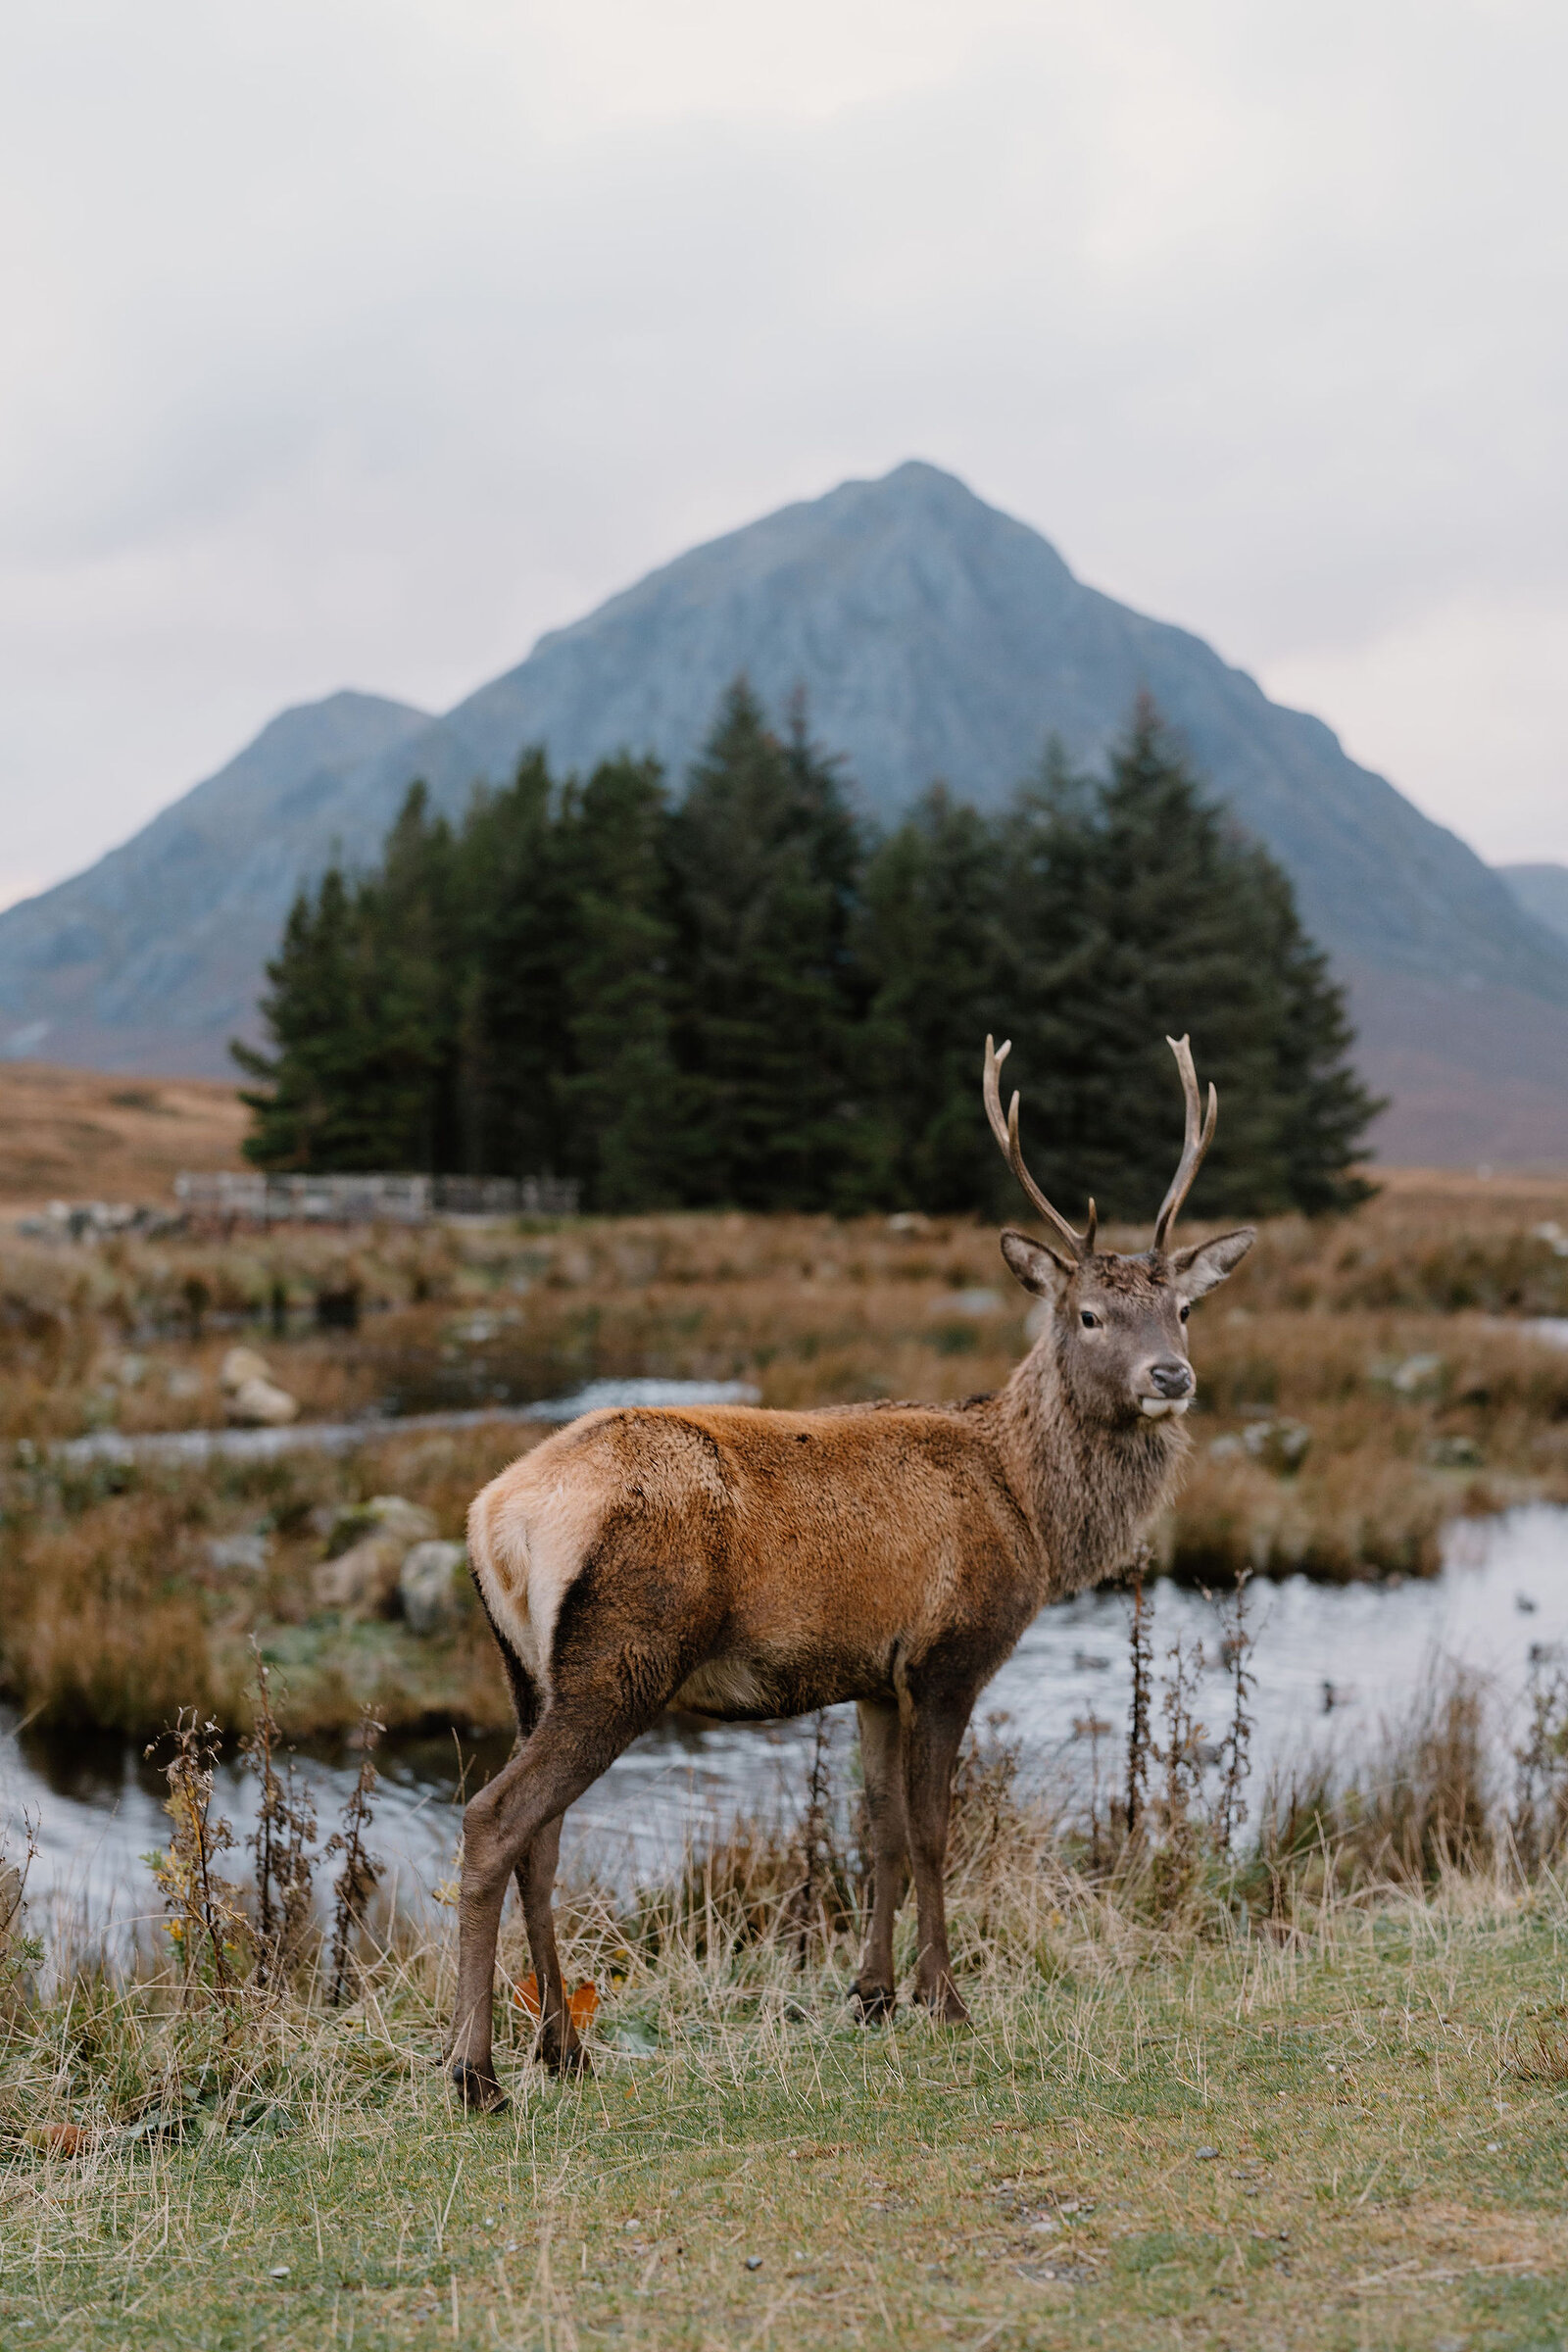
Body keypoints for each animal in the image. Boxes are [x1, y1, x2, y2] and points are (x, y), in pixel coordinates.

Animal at [449, 1034, 1254, 2109]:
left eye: (1182, 1308)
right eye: (1086, 1315)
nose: (1171, 1376)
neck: (1028, 1506)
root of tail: (494, 1515)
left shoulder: (873, 1676)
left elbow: (875, 1829)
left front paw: (870, 1995)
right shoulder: (951, 1653)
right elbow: (934, 1830)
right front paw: (946, 1998)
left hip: (526, 1671)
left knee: (540, 1841)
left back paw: (563, 2050)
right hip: (622, 1655)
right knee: (494, 1820)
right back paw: (475, 2073)